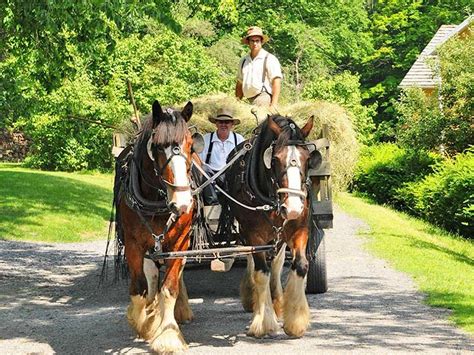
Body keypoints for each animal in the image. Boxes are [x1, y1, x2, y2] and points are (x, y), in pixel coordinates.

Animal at [114, 99, 195, 354]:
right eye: (159, 147)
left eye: (191, 146)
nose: (182, 203)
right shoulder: (133, 245)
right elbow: (139, 289)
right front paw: (144, 321)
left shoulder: (180, 242)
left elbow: (169, 288)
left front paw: (168, 335)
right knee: (149, 276)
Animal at [225, 116, 322, 340]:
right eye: (275, 159)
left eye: (307, 158)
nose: (293, 207)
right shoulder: (254, 235)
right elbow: (261, 272)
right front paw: (263, 322)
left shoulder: (299, 229)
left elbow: (300, 265)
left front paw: (295, 321)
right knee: (254, 262)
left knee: (277, 263)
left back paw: (277, 300)